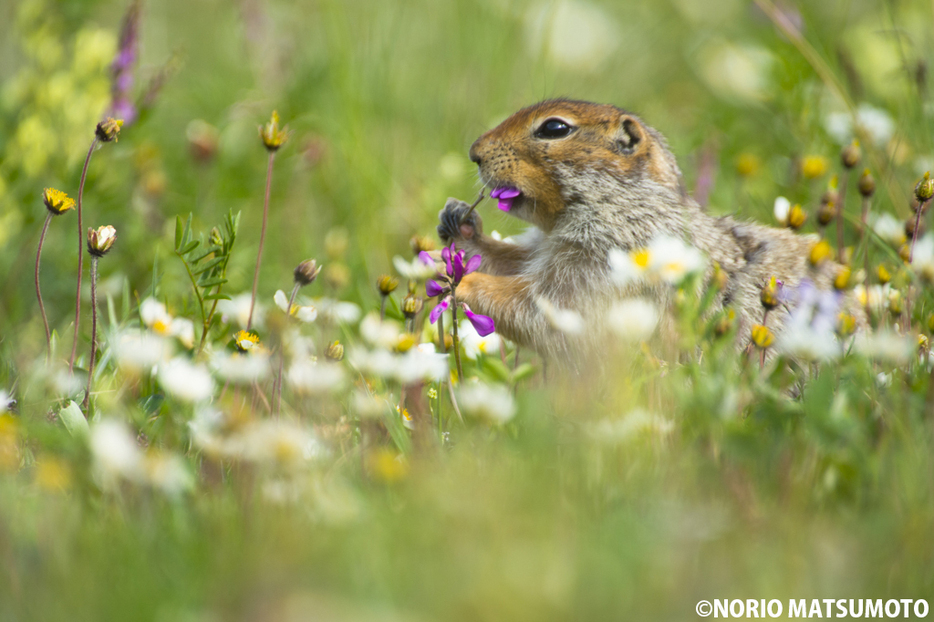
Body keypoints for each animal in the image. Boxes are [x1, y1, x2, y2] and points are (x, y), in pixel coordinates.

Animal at [438, 100, 856, 364]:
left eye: (555, 128)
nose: (474, 153)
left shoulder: (606, 256)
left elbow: (550, 306)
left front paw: (467, 283)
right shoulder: (548, 248)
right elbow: (511, 261)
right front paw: (458, 222)